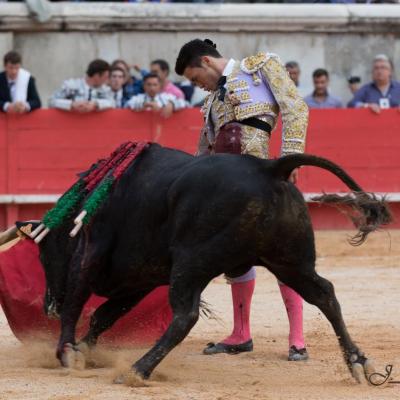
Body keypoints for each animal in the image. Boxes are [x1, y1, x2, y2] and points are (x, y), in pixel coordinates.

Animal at [38, 143, 390, 382]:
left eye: (42, 255)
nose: (48, 306)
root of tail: (268, 167)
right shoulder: (142, 280)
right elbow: (103, 315)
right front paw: (83, 349)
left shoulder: (89, 254)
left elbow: (78, 303)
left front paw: (67, 351)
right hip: (289, 261)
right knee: (324, 294)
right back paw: (358, 362)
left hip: (191, 262)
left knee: (186, 315)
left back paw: (137, 370)